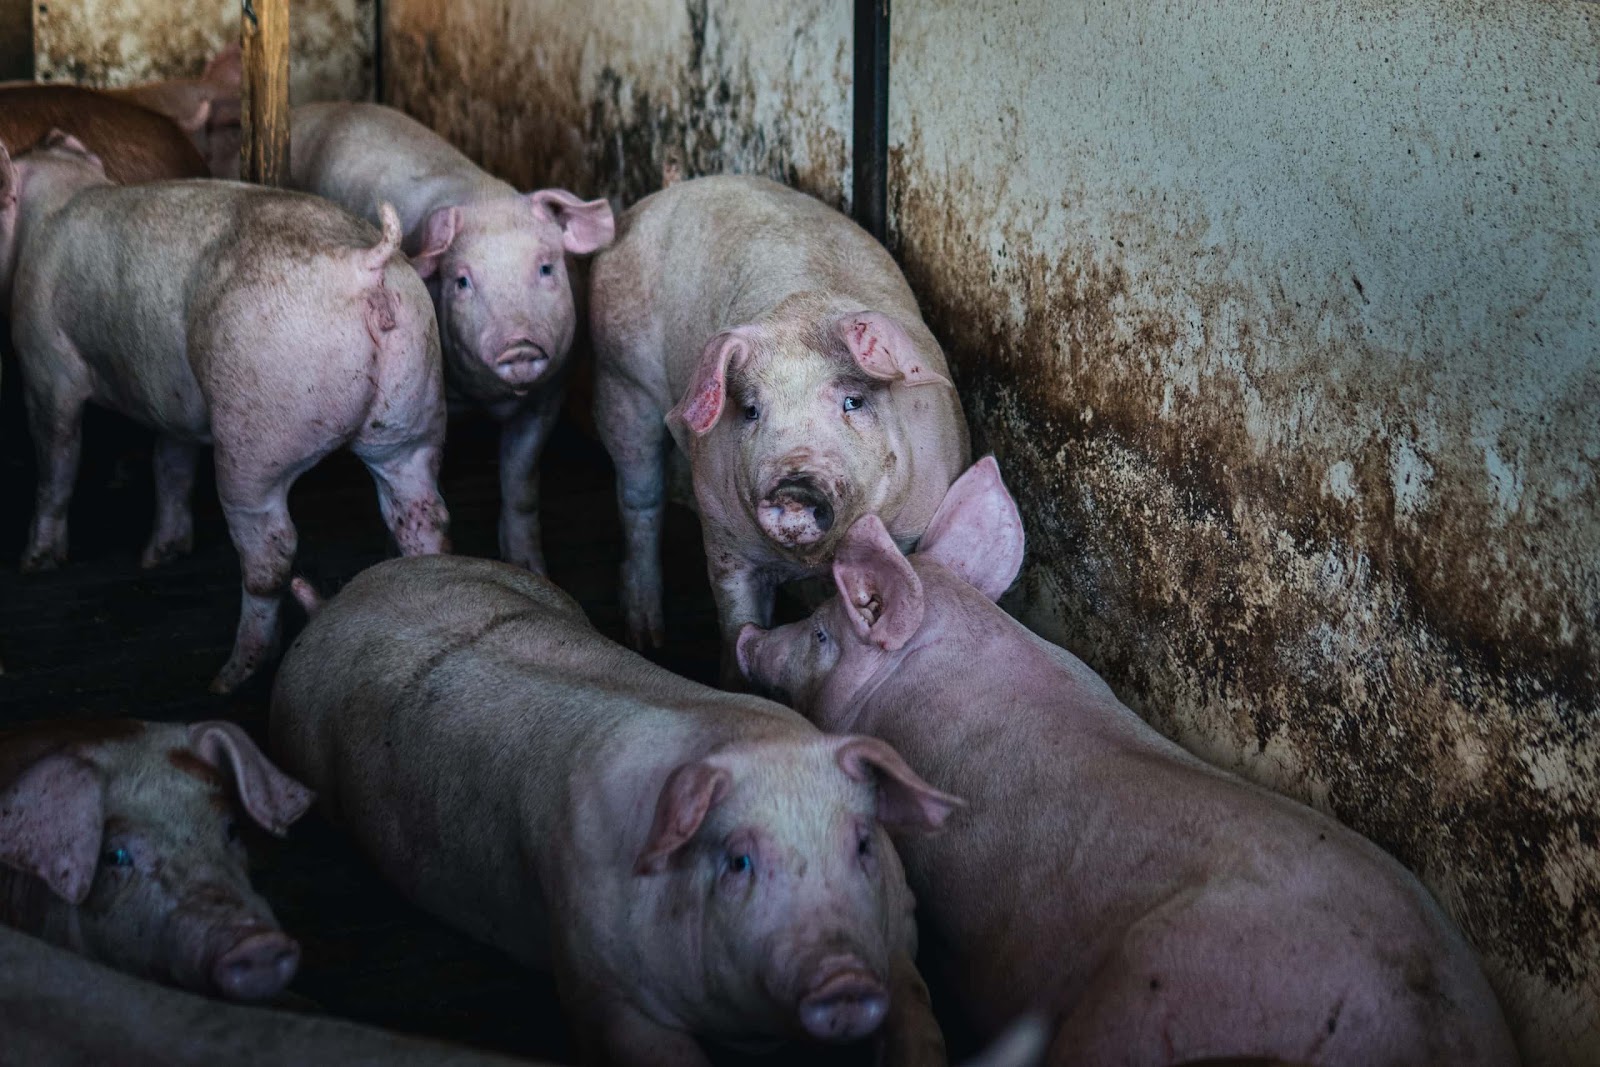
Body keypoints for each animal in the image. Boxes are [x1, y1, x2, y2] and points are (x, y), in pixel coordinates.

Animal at [5, 131, 451, 693]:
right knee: (420, 512)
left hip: (258, 429)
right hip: (414, 405)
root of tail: (365, 263)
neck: (58, 196)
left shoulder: (44, 364)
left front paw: (34, 564)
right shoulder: (172, 400)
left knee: (270, 552)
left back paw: (230, 676)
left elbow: (56, 460)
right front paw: (158, 555)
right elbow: (171, 465)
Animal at [270, 553, 959, 1066]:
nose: (843, 979)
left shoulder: (895, 933)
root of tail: (337, 601)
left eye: (862, 844)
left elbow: (918, 1012)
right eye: (737, 862)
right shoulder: (596, 978)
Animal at [289, 102, 614, 574]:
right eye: (461, 281)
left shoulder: (549, 396)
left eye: (546, 267)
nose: (519, 344)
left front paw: (531, 570)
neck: (488, 400)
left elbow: (521, 483)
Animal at [589, 174, 970, 670]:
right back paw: (647, 638)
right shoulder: (725, 542)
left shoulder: (918, 521)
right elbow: (737, 626)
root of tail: (643, 207)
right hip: (620, 379)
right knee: (639, 500)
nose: (794, 488)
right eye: (752, 410)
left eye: (852, 402)